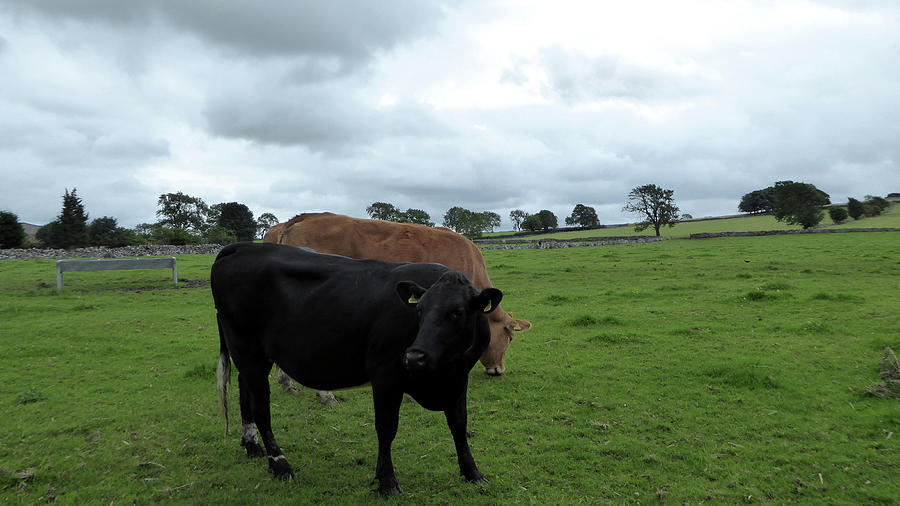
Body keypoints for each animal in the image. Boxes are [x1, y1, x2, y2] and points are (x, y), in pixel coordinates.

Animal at [214, 242, 502, 494]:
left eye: (457, 312)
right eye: (419, 310)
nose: (414, 357)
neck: (442, 372)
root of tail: (243, 246)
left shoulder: (458, 379)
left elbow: (459, 424)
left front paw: (473, 473)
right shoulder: (385, 375)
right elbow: (386, 428)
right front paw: (387, 482)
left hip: (252, 355)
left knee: (244, 394)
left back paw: (252, 446)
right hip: (246, 349)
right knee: (261, 408)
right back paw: (280, 465)